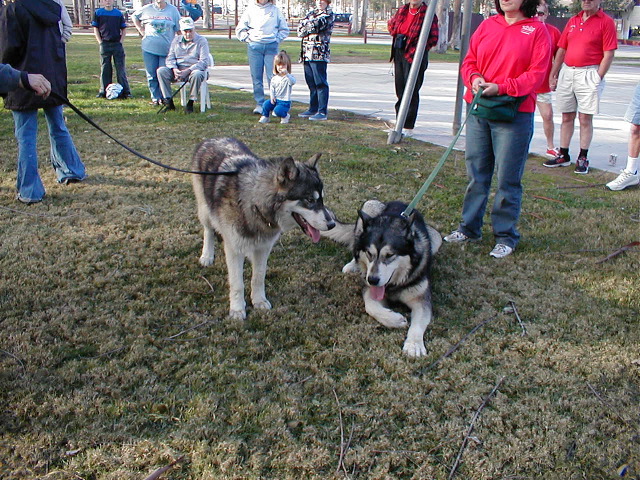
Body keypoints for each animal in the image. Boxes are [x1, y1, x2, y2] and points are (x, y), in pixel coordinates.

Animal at [192, 137, 335, 320]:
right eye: (310, 200)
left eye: (322, 199)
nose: (332, 224)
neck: (255, 205)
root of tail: (211, 139)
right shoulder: (234, 249)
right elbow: (237, 283)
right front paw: (237, 309)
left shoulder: (264, 248)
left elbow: (258, 276)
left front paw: (259, 300)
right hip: (205, 211)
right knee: (208, 230)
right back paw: (207, 255)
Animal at [323, 200, 442, 357]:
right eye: (369, 253)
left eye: (390, 255)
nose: (372, 280)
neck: (394, 285)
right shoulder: (369, 290)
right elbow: (370, 307)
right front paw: (395, 319)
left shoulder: (421, 299)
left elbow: (418, 323)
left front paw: (414, 344)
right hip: (368, 207)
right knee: (356, 247)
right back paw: (353, 265)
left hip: (437, 238)